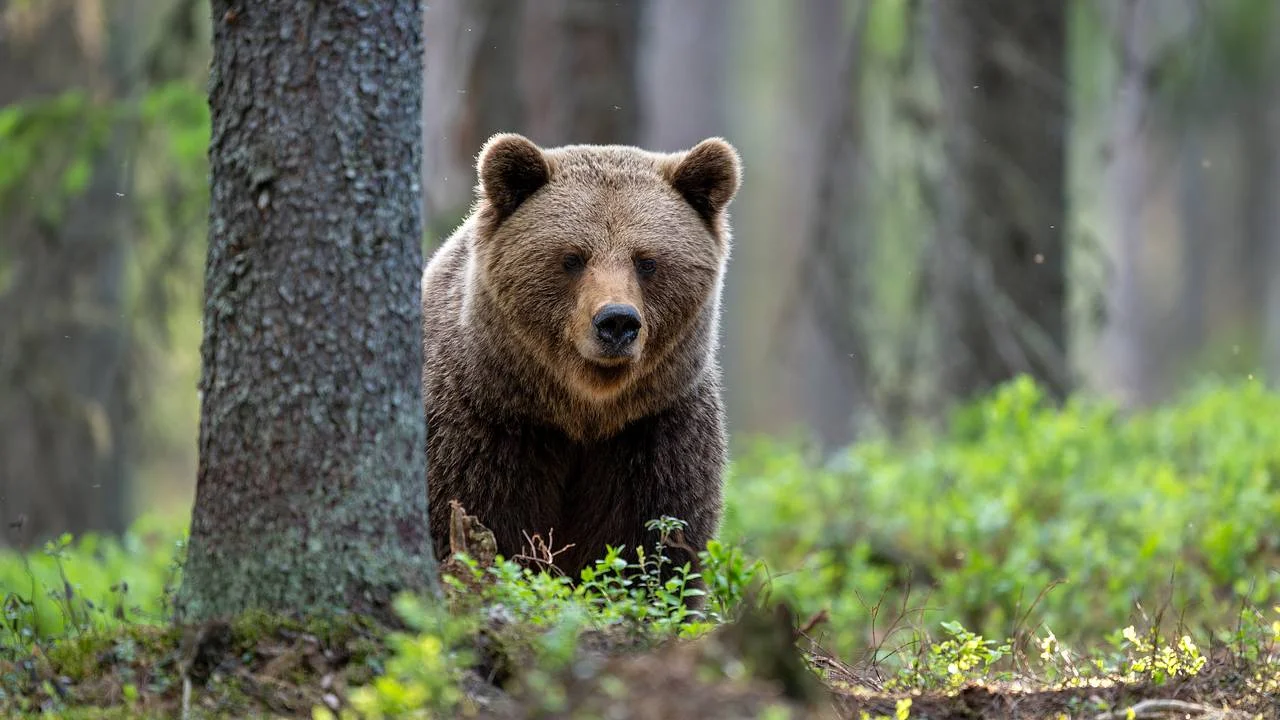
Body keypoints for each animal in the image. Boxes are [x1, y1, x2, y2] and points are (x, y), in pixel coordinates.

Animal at [421, 132, 741, 598]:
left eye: (647, 261)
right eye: (573, 258)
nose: (617, 321)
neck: (579, 413)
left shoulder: (653, 434)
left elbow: (654, 550)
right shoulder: (479, 427)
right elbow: (477, 520)